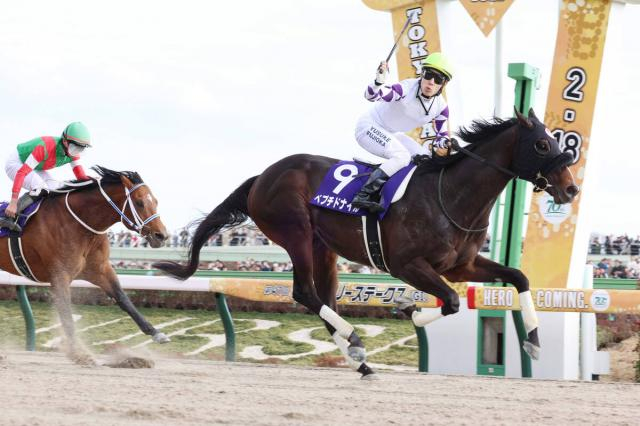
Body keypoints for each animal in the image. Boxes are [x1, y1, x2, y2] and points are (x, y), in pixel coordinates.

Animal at [0, 166, 169, 365]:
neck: (79, 223)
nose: (162, 235)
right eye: (140, 202)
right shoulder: (60, 275)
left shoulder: (100, 270)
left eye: (156, 201)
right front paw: (79, 354)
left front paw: (156, 333)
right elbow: (66, 313)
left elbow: (123, 299)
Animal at [154, 109, 579, 378]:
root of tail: (262, 176)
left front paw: (534, 342)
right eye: (542, 145)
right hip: (295, 233)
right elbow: (451, 301)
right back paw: (356, 341)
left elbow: (519, 277)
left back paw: (360, 360)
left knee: (323, 298)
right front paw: (411, 311)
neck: (451, 194)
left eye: (555, 141)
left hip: (324, 247)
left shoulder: (462, 265)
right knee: (304, 292)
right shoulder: (407, 265)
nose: (571, 189)